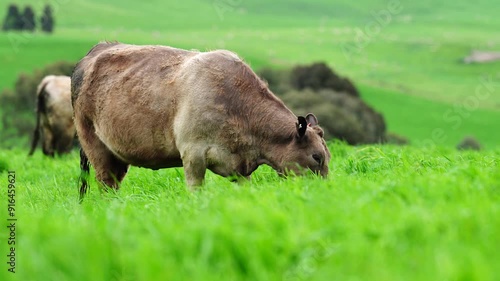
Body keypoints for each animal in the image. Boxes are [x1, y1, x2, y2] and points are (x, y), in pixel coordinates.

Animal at [69, 42, 328, 199]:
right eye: (316, 157)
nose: (326, 191)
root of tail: (98, 49)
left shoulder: (240, 169)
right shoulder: (193, 155)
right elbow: (196, 193)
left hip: (117, 156)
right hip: (94, 145)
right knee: (104, 185)